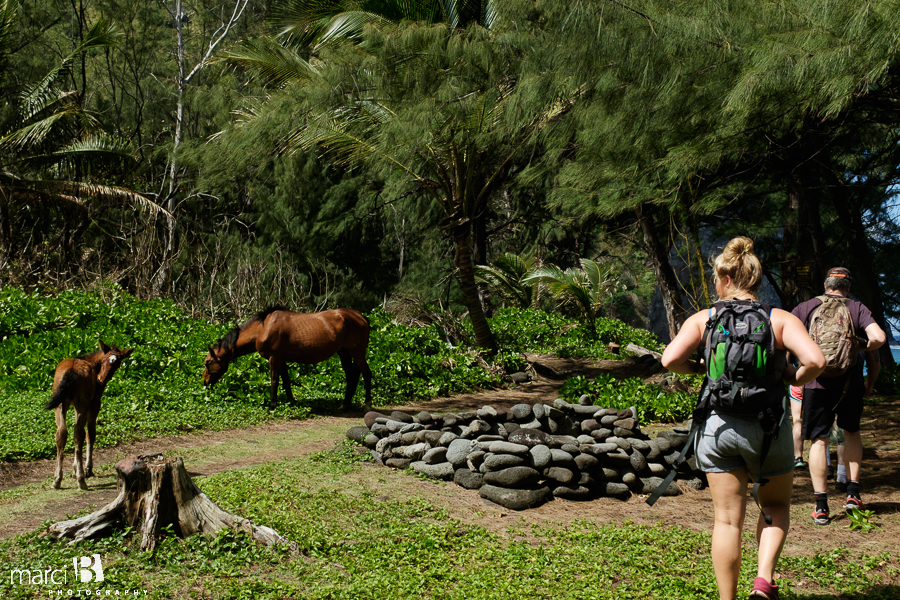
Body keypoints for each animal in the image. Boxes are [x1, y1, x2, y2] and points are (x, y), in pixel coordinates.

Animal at [46, 340, 133, 490]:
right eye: (103, 361)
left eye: (117, 364)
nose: (100, 381)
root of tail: (71, 371)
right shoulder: (95, 403)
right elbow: (91, 433)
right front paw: (86, 469)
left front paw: (75, 470)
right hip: (83, 403)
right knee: (79, 433)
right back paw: (81, 480)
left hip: (60, 404)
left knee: (62, 433)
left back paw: (57, 480)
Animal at [204, 304, 372, 412]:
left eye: (207, 362)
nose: (205, 382)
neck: (262, 328)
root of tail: (361, 316)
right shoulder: (281, 359)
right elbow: (286, 381)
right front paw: (291, 400)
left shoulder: (274, 358)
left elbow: (274, 381)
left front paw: (272, 406)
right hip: (344, 352)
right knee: (351, 376)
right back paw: (345, 405)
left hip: (357, 352)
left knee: (366, 373)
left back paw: (367, 404)